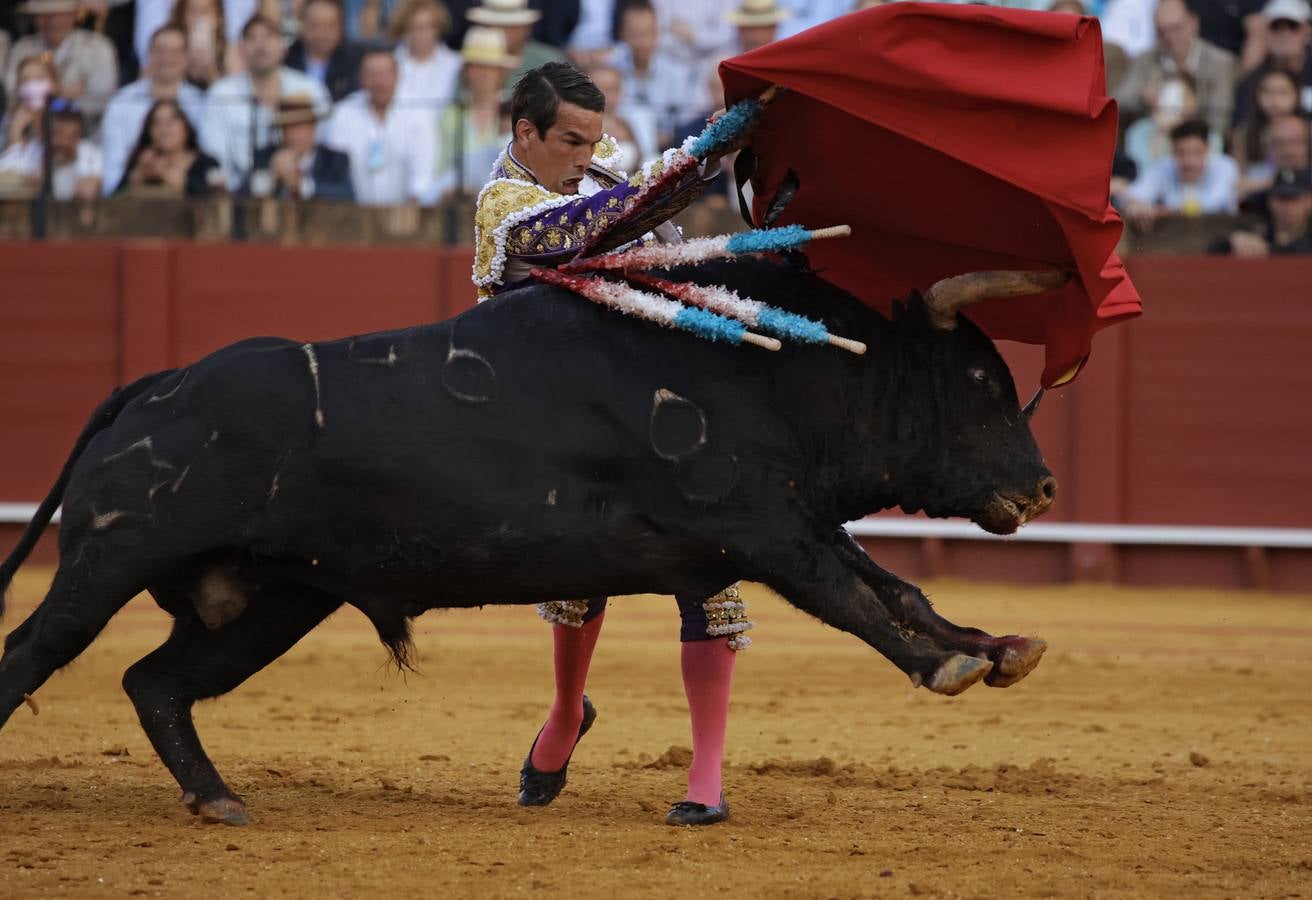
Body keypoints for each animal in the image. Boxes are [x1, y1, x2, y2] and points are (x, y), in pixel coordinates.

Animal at [0, 257, 1054, 829]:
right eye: (980, 383)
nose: (1044, 486)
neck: (773, 369)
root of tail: (158, 385)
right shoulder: (761, 527)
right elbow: (853, 598)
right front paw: (947, 667)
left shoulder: (780, 526)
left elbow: (898, 589)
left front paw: (1001, 647)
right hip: (110, 559)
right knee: (32, 651)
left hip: (274, 599)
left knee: (156, 682)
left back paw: (218, 798)